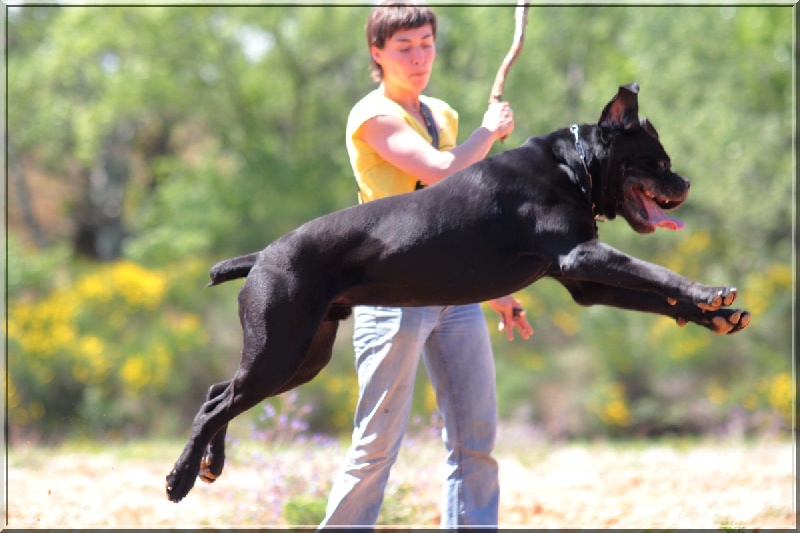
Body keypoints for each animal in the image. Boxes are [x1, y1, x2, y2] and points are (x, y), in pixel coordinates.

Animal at [167, 84, 752, 502]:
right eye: (658, 162)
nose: (685, 184)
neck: (574, 167)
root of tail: (261, 257)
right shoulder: (582, 255)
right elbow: (656, 273)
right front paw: (710, 290)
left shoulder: (584, 280)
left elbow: (655, 295)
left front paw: (718, 315)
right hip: (280, 348)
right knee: (216, 404)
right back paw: (181, 477)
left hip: (302, 356)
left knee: (219, 392)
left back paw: (211, 464)